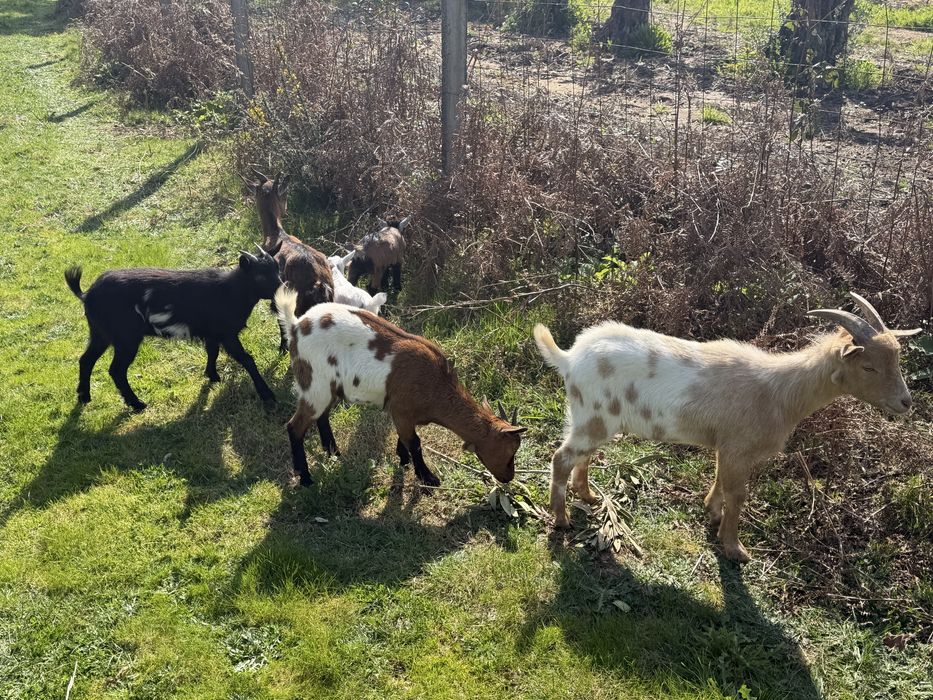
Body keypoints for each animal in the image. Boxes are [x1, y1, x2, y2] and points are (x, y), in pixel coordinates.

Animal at [65, 245, 283, 412]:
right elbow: (247, 359)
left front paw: (212, 376)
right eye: (260, 276)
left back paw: (84, 396)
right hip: (125, 338)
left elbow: (212, 352)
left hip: (100, 333)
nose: (283, 290)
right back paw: (137, 404)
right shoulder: (227, 334)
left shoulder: (212, 333)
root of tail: (86, 294)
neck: (231, 291)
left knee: (86, 360)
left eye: (278, 269)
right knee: (116, 370)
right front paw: (268, 395)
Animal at [275, 288, 526, 487]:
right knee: (295, 426)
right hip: (314, 383)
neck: (436, 384)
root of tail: (296, 326)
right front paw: (427, 477)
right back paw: (305, 478)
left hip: (329, 387)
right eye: (510, 452)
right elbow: (415, 443)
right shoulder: (403, 409)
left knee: (322, 416)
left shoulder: (400, 411)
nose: (508, 478)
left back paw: (334, 453)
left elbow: (404, 438)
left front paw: (403, 460)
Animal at [534, 293, 920, 562]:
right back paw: (561, 519)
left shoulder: (727, 446)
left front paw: (712, 513)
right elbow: (738, 495)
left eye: (897, 359)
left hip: (594, 419)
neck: (779, 391)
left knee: (582, 456)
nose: (905, 402)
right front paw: (735, 548)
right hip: (593, 417)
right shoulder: (738, 448)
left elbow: (720, 480)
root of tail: (569, 358)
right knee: (561, 458)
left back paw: (588, 496)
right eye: (868, 367)